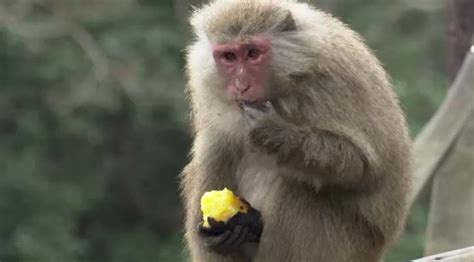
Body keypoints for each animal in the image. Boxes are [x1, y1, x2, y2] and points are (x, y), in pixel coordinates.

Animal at [180, 1, 412, 260]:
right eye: (229, 56)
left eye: (253, 53)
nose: (241, 86)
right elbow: (216, 144)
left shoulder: (328, 83)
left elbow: (359, 165)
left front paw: (271, 129)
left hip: (350, 244)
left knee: (300, 190)